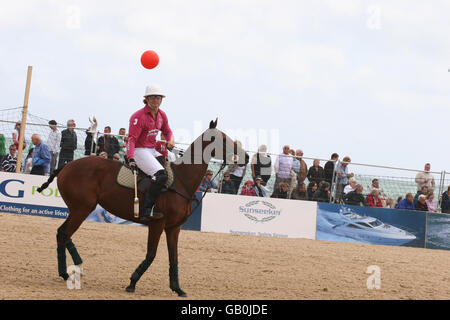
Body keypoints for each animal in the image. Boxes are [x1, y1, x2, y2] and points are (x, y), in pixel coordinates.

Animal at [37, 120, 250, 298]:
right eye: (222, 139)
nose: (247, 156)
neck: (181, 181)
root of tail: (66, 166)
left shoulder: (174, 228)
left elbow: (174, 257)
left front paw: (177, 288)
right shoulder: (157, 223)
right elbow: (151, 254)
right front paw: (132, 282)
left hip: (78, 209)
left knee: (62, 233)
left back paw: (72, 268)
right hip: (82, 208)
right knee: (64, 233)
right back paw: (68, 273)